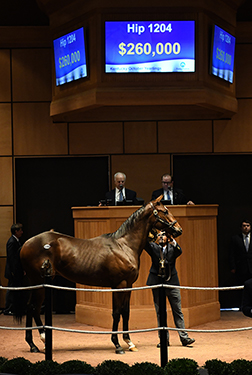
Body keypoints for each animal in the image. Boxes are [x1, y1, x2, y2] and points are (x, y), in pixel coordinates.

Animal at [16, 197, 181, 356]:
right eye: (165, 211)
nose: (179, 229)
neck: (124, 246)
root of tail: (25, 244)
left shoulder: (128, 285)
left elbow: (125, 312)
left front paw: (129, 342)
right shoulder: (119, 285)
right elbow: (116, 313)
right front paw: (117, 345)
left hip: (36, 283)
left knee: (29, 307)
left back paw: (32, 345)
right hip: (40, 283)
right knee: (35, 308)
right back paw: (43, 340)